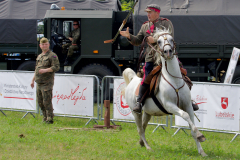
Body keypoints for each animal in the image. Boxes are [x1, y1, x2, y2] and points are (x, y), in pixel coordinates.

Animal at [123, 27, 207, 156]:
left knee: (143, 126)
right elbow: (185, 115)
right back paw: (148, 147)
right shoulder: (170, 106)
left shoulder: (188, 105)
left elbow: (192, 126)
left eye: (172, 39)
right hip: (136, 112)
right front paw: (200, 135)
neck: (174, 81)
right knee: (140, 129)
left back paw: (142, 143)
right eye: (158, 41)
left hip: (147, 113)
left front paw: (201, 149)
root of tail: (133, 79)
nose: (168, 51)